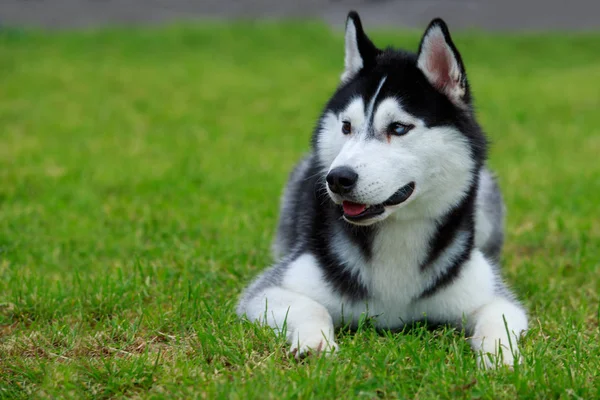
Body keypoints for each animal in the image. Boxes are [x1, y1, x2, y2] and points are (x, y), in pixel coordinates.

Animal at [237, 11, 528, 368]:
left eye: (398, 128)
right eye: (346, 126)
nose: (338, 178)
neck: (397, 236)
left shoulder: (492, 296)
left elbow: (499, 320)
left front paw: (501, 359)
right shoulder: (269, 290)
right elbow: (311, 307)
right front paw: (315, 343)